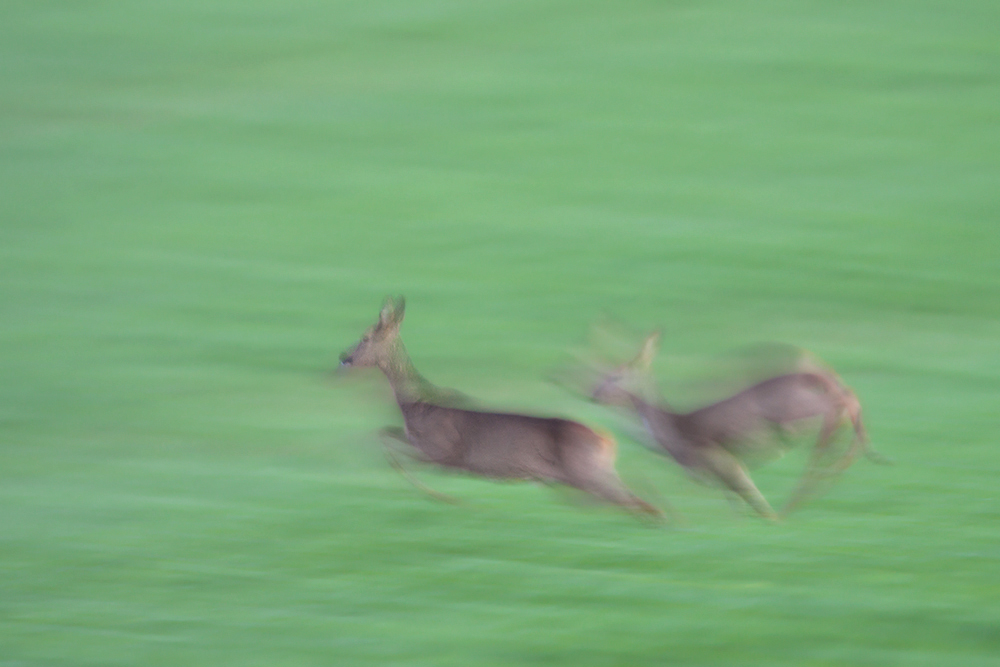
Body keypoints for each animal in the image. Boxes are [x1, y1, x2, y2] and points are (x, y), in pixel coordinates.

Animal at [338, 298, 664, 520]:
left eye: (365, 338)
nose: (344, 358)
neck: (416, 402)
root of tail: (609, 441)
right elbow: (383, 433)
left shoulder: (441, 453)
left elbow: (388, 443)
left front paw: (435, 494)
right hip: (587, 479)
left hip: (588, 475)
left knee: (641, 505)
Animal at [588, 332, 888, 520]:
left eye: (616, 377)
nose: (593, 394)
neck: (673, 434)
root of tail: (819, 372)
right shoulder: (724, 474)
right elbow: (741, 511)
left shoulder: (722, 460)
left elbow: (760, 507)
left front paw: (776, 519)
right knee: (843, 407)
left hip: (792, 416)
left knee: (841, 404)